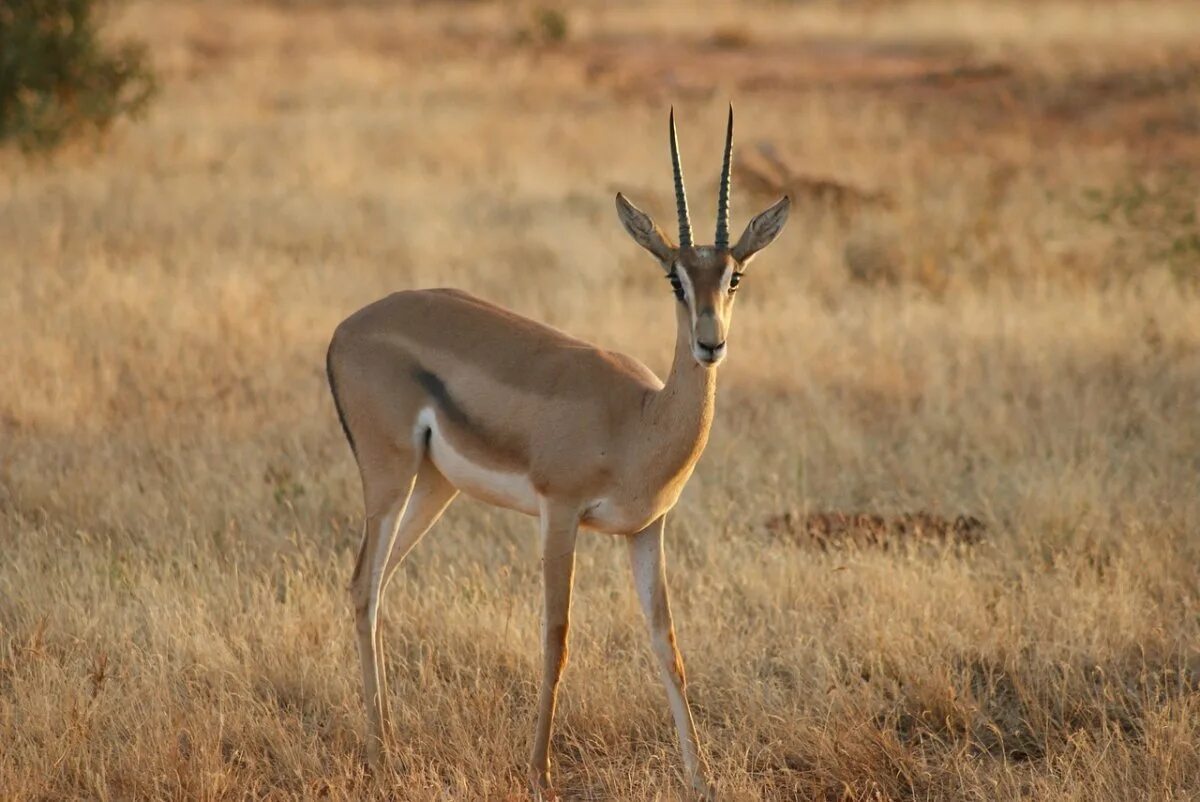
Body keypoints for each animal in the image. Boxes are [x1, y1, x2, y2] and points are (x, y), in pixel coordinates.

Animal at [326, 105, 787, 797]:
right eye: (674, 278)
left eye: (734, 276)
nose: (711, 343)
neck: (639, 421)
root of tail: (343, 329)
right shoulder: (560, 512)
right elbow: (556, 637)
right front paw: (539, 772)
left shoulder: (646, 530)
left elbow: (667, 645)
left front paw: (702, 780)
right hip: (390, 477)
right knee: (361, 583)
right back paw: (381, 756)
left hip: (434, 486)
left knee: (377, 585)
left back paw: (387, 744)